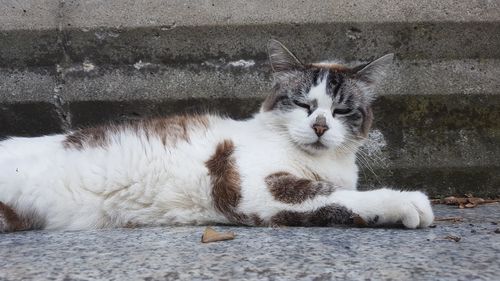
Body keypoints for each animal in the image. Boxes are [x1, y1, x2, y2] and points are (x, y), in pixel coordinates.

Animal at [0, 40, 434, 232]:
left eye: (342, 111)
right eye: (302, 104)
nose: (320, 127)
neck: (322, 162)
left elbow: (339, 193)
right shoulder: (256, 190)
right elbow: (337, 196)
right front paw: (406, 202)